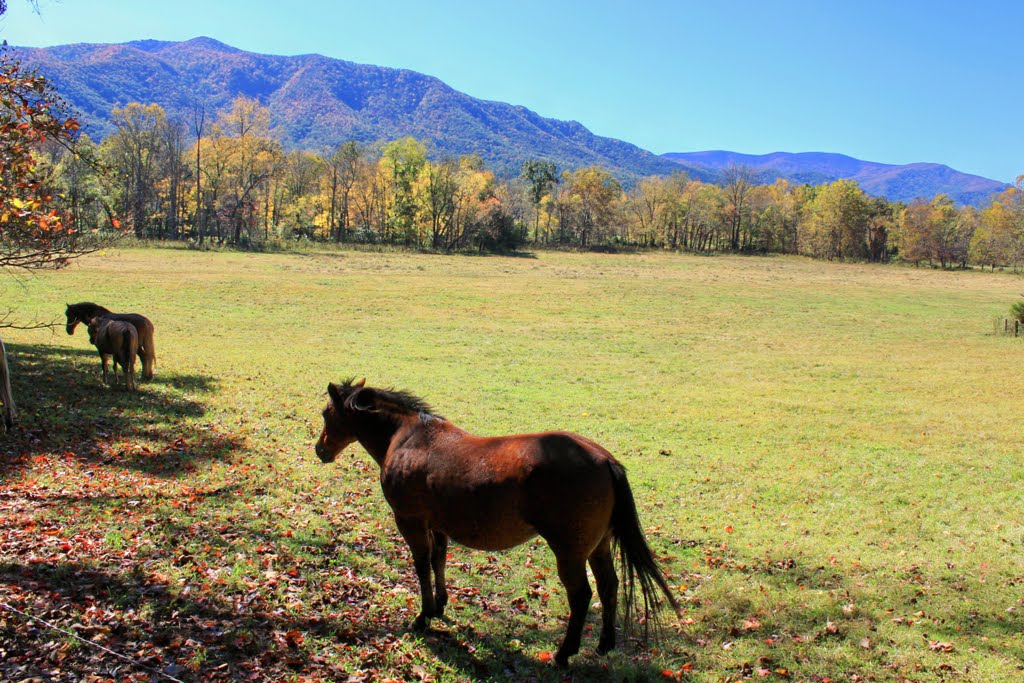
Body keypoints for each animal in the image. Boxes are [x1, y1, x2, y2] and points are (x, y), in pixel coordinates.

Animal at [311, 376, 679, 663]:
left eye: (327, 413)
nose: (320, 450)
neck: (410, 439)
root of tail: (604, 459)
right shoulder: (437, 524)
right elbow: (438, 560)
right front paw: (440, 605)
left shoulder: (410, 520)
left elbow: (421, 564)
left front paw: (423, 615)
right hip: (599, 546)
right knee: (609, 586)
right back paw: (604, 645)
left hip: (570, 552)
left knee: (581, 595)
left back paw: (564, 654)